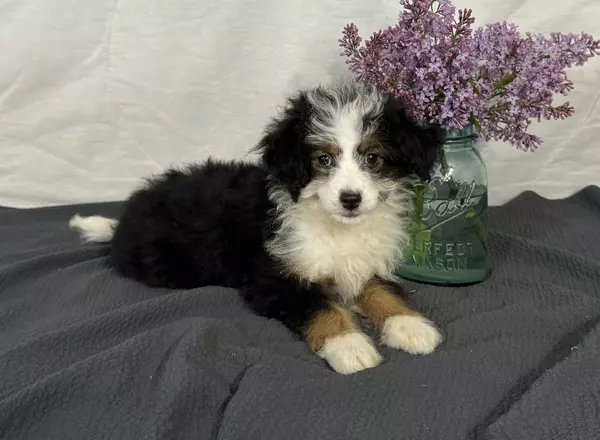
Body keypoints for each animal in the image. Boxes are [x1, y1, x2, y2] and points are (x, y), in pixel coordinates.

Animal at [70, 80, 446, 374]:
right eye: (323, 159)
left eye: (373, 158)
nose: (350, 199)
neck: (337, 227)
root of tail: (123, 223)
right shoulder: (272, 276)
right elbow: (319, 307)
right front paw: (350, 346)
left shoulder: (365, 263)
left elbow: (382, 291)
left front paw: (409, 326)